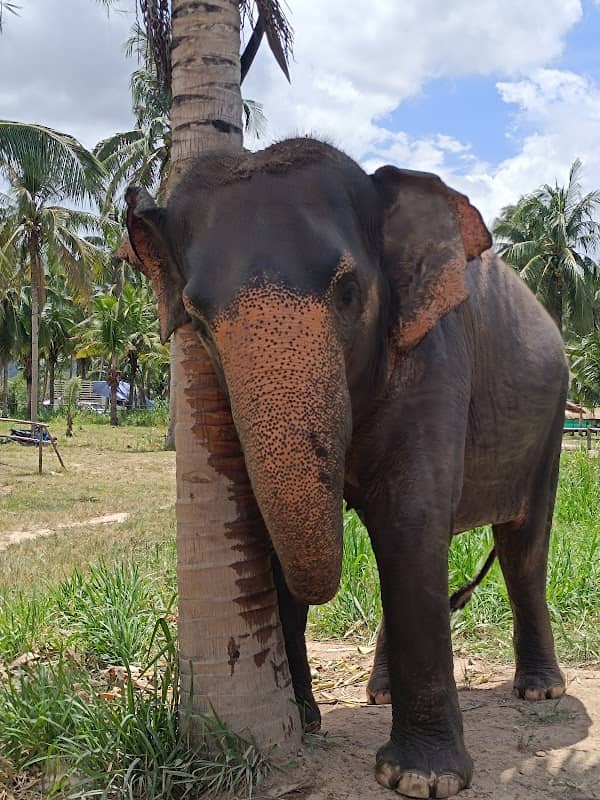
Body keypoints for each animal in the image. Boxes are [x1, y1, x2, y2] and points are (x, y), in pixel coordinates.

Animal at [125, 138, 568, 799]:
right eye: (197, 319)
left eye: (350, 290)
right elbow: (287, 528)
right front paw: (305, 721)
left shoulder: (434, 357)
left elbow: (410, 524)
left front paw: (421, 778)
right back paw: (379, 692)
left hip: (551, 422)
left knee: (522, 547)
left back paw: (540, 691)